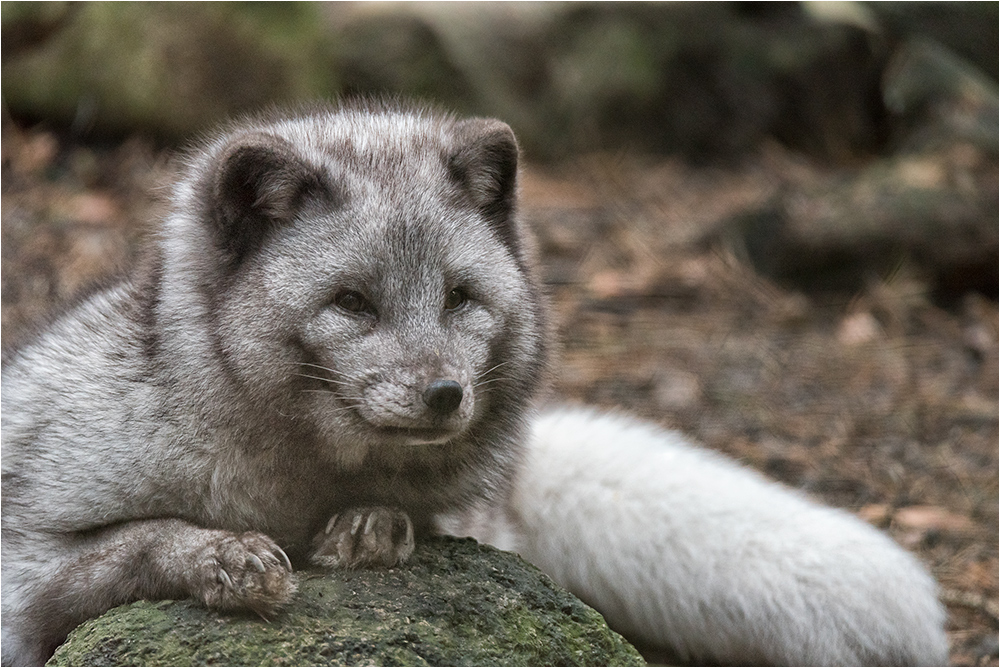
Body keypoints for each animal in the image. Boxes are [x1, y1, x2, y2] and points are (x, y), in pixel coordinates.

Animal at [3, 102, 948, 664]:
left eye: (461, 297)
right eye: (351, 302)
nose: (443, 395)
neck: (296, 477)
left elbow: (404, 519)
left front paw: (377, 523)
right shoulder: (22, 567)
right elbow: (137, 536)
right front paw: (226, 555)